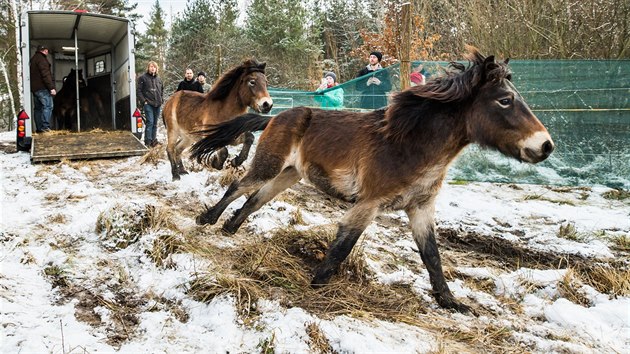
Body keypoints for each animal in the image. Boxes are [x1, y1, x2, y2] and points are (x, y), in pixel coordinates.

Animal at [190, 48, 556, 312]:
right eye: (505, 100)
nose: (545, 146)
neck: (409, 144)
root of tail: (275, 115)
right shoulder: (368, 204)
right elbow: (342, 247)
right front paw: (316, 287)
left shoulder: (421, 209)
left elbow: (432, 256)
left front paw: (451, 302)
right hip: (270, 165)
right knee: (239, 186)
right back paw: (207, 220)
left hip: (289, 174)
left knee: (254, 199)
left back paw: (230, 229)